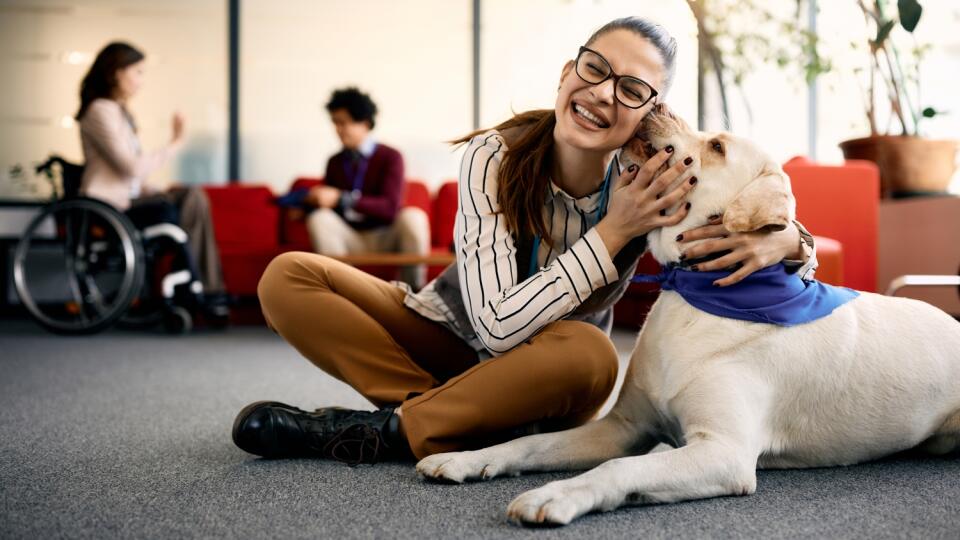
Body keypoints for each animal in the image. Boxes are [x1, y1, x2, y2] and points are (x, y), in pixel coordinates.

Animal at [414, 103, 960, 524]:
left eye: (717, 145)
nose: (655, 103)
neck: (694, 293)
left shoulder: (723, 451)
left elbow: (618, 469)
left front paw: (555, 496)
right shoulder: (625, 427)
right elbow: (532, 445)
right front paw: (468, 458)